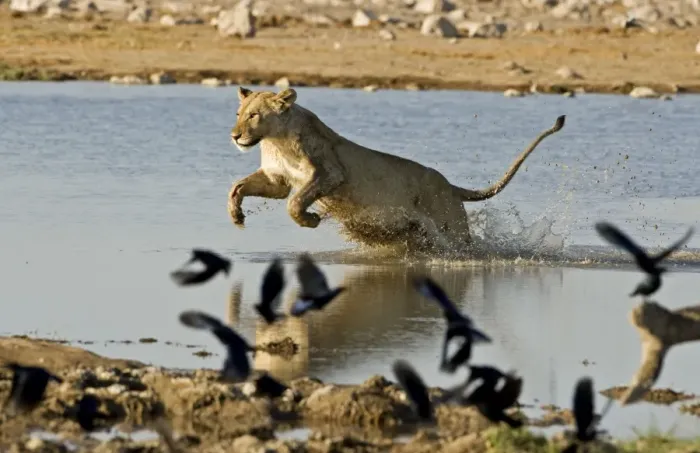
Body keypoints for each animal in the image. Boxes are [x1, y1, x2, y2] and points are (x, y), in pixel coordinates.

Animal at [228, 87, 565, 251]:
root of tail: (448, 185)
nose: (234, 136)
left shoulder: (329, 172)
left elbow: (295, 203)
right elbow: (237, 187)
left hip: (450, 226)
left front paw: (310, 220)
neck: (275, 141)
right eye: (238, 113)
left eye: (254, 115)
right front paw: (237, 216)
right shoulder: (277, 180)